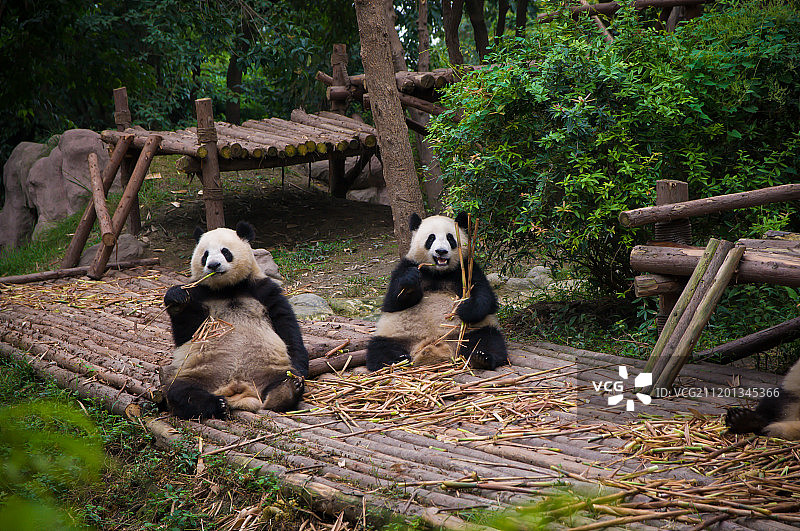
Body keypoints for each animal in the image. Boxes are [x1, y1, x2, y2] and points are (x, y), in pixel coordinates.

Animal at [158, 221, 308, 420]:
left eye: (225, 251)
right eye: (205, 255)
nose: (213, 265)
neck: (227, 289)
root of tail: (239, 389)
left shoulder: (262, 290)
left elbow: (286, 325)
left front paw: (300, 370)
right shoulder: (201, 294)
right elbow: (186, 332)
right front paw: (177, 297)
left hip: (269, 369)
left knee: (283, 377)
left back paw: (288, 389)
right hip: (200, 373)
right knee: (179, 390)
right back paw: (217, 404)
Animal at [368, 214, 510, 372]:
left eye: (450, 238)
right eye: (431, 238)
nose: (441, 251)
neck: (438, 272)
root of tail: (435, 345)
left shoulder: (467, 269)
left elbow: (486, 298)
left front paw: (465, 309)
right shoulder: (406, 266)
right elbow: (392, 302)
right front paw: (410, 282)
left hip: (471, 331)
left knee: (488, 340)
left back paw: (482, 358)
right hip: (395, 333)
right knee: (379, 348)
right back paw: (397, 361)